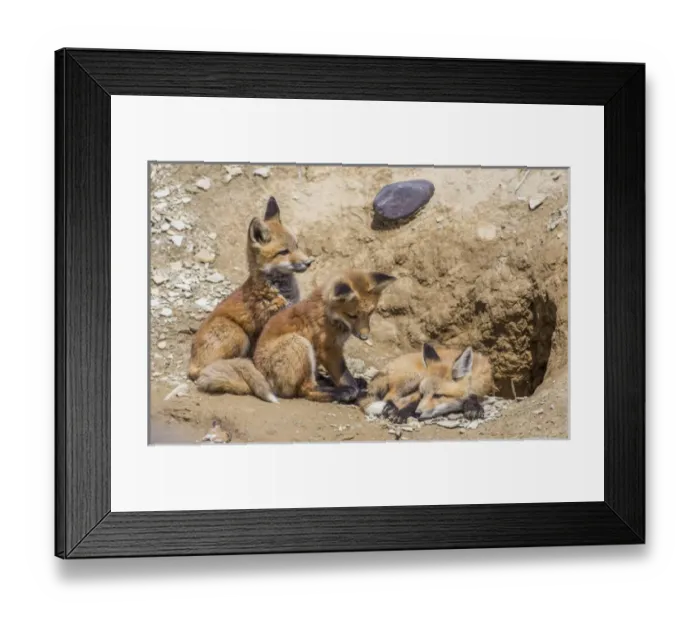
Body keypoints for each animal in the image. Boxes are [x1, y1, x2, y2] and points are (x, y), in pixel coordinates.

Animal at [189, 196, 313, 402]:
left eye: (297, 245)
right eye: (284, 252)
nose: (310, 262)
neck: (280, 290)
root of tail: (192, 362)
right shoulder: (266, 324)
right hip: (238, 334)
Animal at [252, 269, 397, 403]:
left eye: (370, 312)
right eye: (352, 316)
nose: (365, 337)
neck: (330, 316)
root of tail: (259, 370)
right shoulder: (328, 349)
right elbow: (346, 377)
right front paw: (355, 390)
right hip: (300, 344)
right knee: (306, 390)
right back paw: (341, 392)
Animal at [362, 342, 494, 422]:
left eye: (438, 395)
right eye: (422, 394)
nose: (417, 413)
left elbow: (473, 396)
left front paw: (473, 406)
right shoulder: (417, 393)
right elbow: (413, 403)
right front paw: (402, 413)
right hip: (413, 378)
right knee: (389, 398)